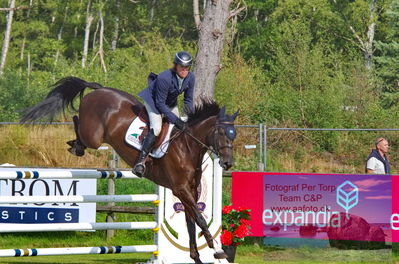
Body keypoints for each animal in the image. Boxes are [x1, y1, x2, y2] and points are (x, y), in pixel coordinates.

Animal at [21, 77, 238, 264]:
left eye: (233, 135)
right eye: (221, 132)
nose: (228, 163)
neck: (187, 146)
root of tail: (99, 89)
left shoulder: (190, 191)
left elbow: (192, 221)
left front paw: (197, 256)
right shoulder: (181, 189)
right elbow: (199, 218)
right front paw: (216, 248)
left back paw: (75, 144)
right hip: (94, 136)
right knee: (76, 120)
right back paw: (76, 145)